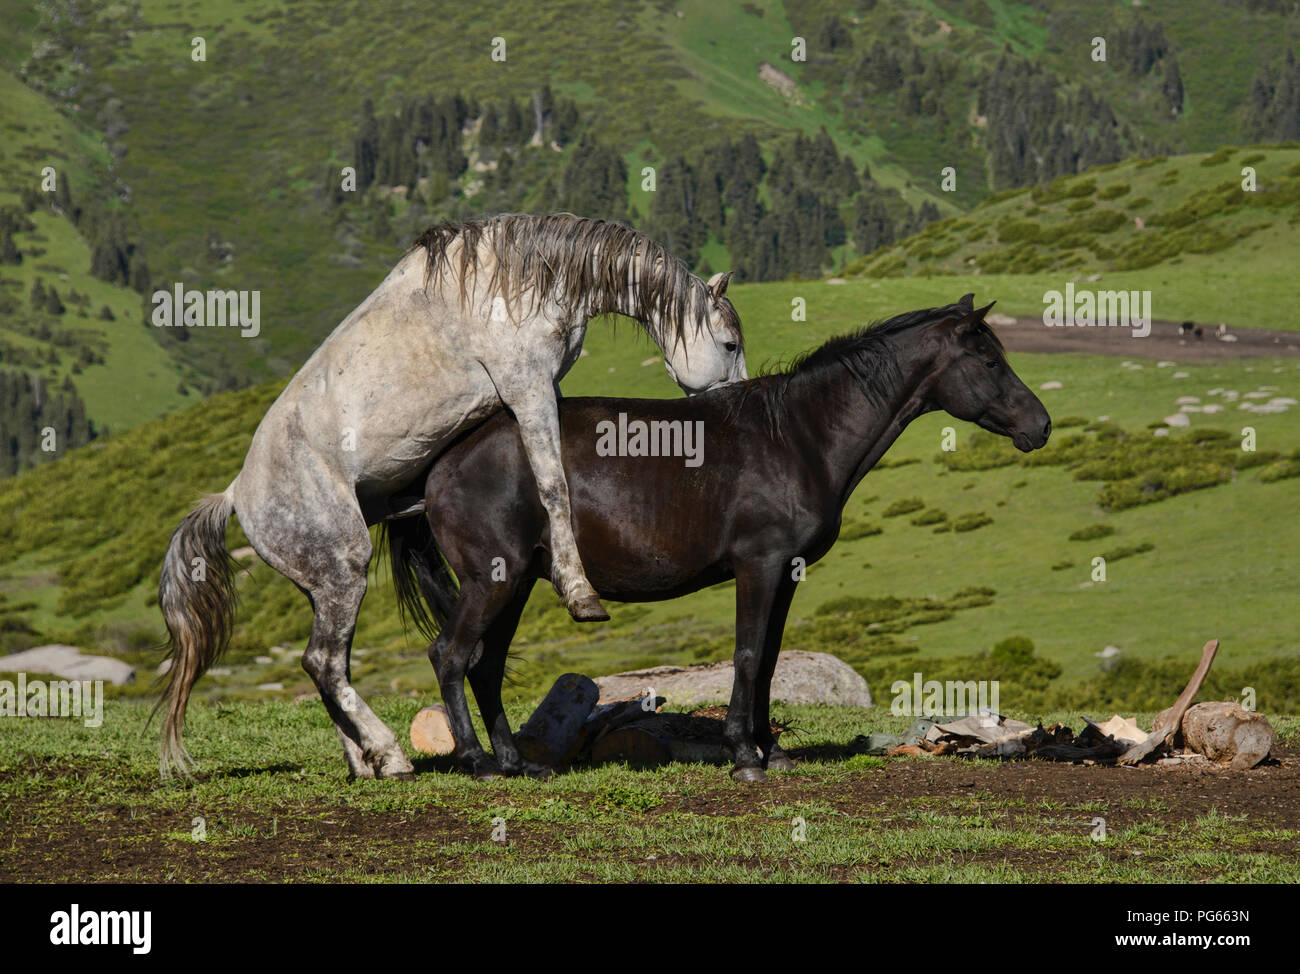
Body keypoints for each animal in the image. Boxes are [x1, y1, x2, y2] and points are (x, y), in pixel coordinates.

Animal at [155, 213, 747, 780]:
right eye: (730, 344)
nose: (735, 403)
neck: (519, 281)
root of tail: (237, 494)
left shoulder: (541, 391)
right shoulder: (527, 387)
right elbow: (553, 484)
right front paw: (579, 592)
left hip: (322, 587)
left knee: (329, 666)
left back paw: (364, 762)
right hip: (345, 568)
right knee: (323, 662)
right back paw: (392, 756)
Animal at [389, 294, 1052, 782]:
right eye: (990, 362)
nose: (1041, 426)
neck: (796, 437)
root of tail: (443, 464)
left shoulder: (787, 573)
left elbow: (770, 661)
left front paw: (772, 751)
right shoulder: (760, 564)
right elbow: (749, 655)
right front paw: (743, 756)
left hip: (517, 581)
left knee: (485, 666)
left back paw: (514, 762)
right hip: (490, 581)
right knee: (451, 656)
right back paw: (478, 761)